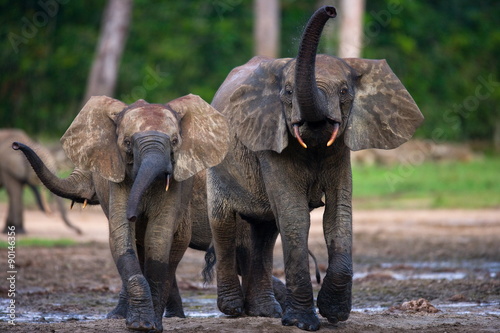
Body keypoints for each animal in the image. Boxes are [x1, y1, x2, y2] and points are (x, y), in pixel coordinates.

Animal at [13, 94, 229, 332]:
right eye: (127, 143)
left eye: (174, 142)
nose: (16, 145)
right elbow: (123, 238)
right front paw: (135, 322)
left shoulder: (177, 189)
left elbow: (158, 237)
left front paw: (150, 324)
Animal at [207, 4, 422, 330]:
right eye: (287, 92)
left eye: (344, 91)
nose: (331, 10)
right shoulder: (270, 142)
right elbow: (296, 218)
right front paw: (304, 322)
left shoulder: (340, 151)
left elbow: (338, 215)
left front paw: (334, 313)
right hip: (216, 166)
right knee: (224, 225)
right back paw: (232, 309)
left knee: (265, 233)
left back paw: (265, 311)